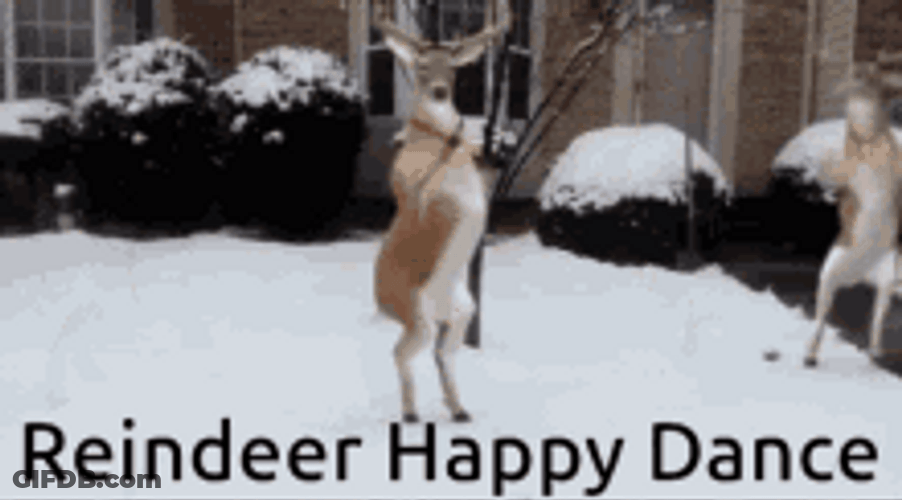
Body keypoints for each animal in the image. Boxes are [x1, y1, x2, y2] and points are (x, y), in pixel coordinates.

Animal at [372, 0, 511, 423]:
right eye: (419, 66)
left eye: (452, 67)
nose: (438, 90)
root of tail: (380, 299)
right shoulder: (409, 183)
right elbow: (417, 191)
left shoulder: (478, 183)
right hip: (414, 314)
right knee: (401, 352)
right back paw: (410, 411)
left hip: (463, 309)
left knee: (441, 354)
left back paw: (458, 407)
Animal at [804, 50, 902, 368]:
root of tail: (861, 274)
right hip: (828, 278)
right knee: (820, 323)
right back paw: (810, 354)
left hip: (885, 286)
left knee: (876, 325)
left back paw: (875, 351)